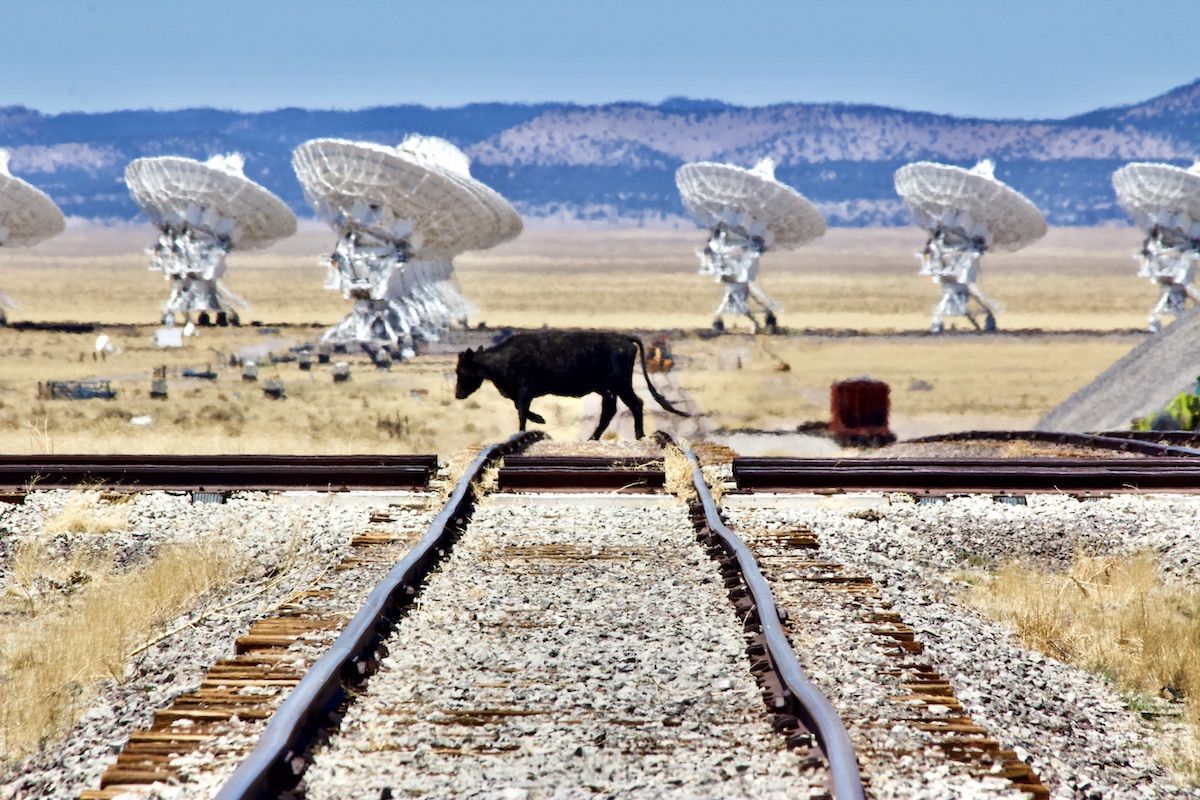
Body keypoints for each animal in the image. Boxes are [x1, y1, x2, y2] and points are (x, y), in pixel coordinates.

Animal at [453, 331, 691, 441]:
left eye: (460, 370)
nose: (458, 394)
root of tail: (623, 337)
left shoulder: (523, 391)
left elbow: (521, 413)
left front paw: (533, 424)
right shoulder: (521, 393)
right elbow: (521, 410)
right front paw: (538, 420)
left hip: (620, 384)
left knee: (635, 404)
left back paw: (639, 435)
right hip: (608, 388)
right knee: (611, 410)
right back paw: (594, 437)